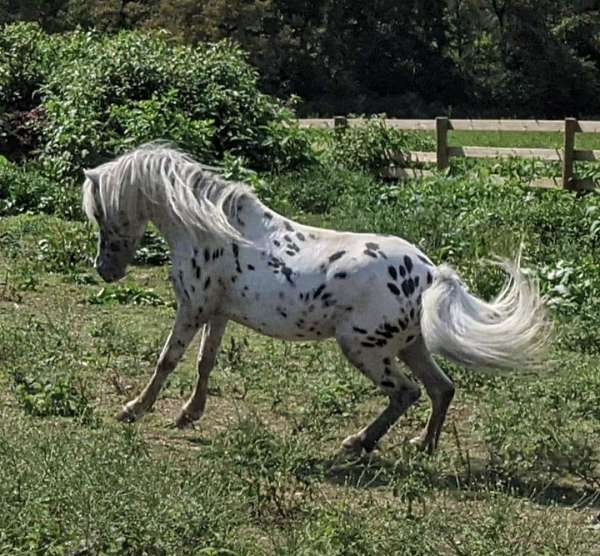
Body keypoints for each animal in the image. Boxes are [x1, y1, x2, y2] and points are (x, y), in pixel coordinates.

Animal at [82, 146, 552, 454]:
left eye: (101, 211)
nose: (105, 270)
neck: (208, 228)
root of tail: (429, 273)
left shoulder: (192, 308)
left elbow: (167, 360)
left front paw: (133, 410)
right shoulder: (217, 312)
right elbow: (205, 363)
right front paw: (187, 414)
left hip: (364, 349)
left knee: (407, 393)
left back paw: (356, 444)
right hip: (412, 345)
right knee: (442, 389)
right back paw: (421, 445)